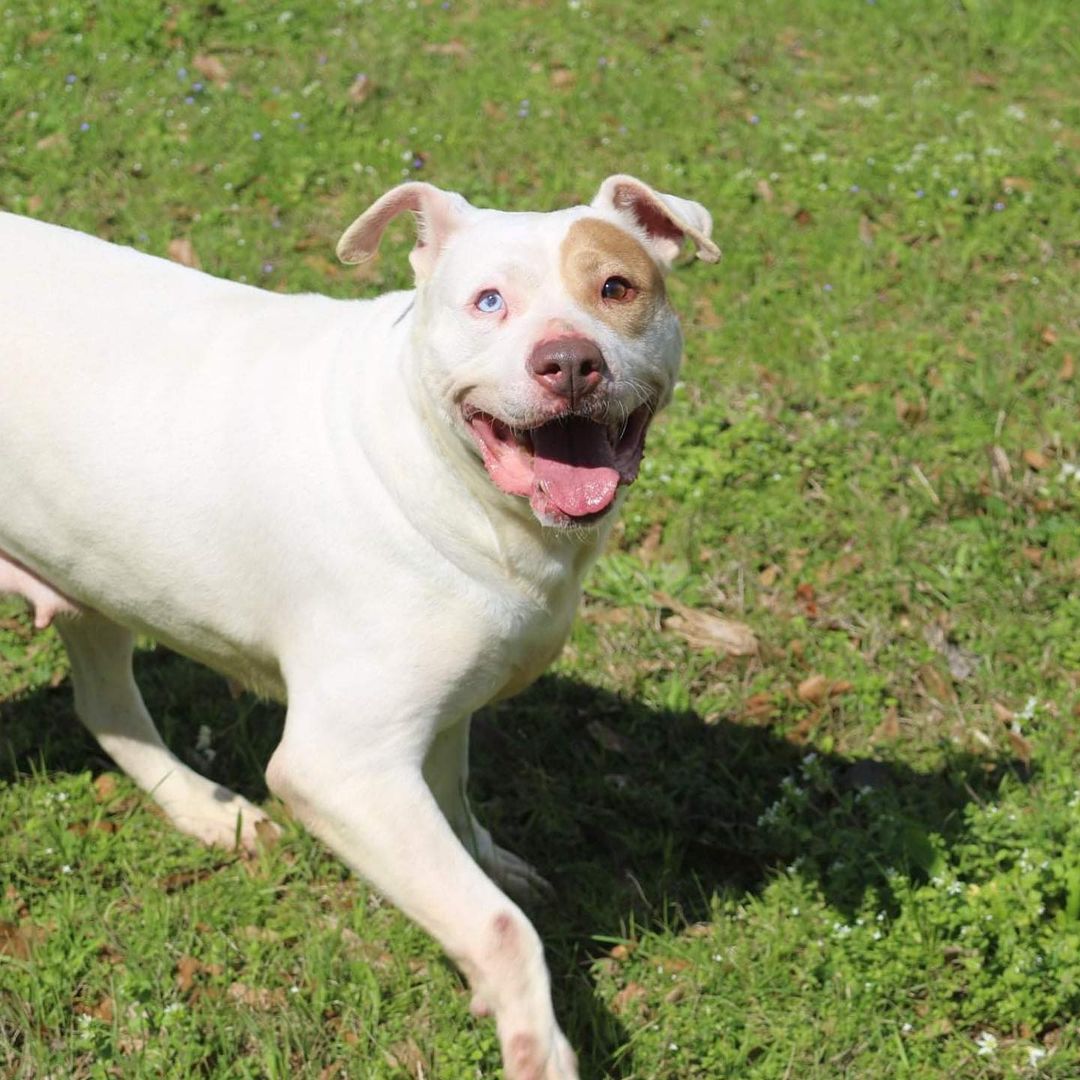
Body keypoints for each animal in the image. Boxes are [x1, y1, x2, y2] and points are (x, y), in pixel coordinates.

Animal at [4, 181, 721, 1075]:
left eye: (616, 288)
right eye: (488, 301)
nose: (568, 361)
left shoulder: (442, 716)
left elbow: (457, 814)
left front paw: (489, 868)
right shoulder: (341, 767)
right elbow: (498, 926)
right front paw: (535, 1043)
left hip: (97, 567)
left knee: (104, 702)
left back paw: (207, 810)